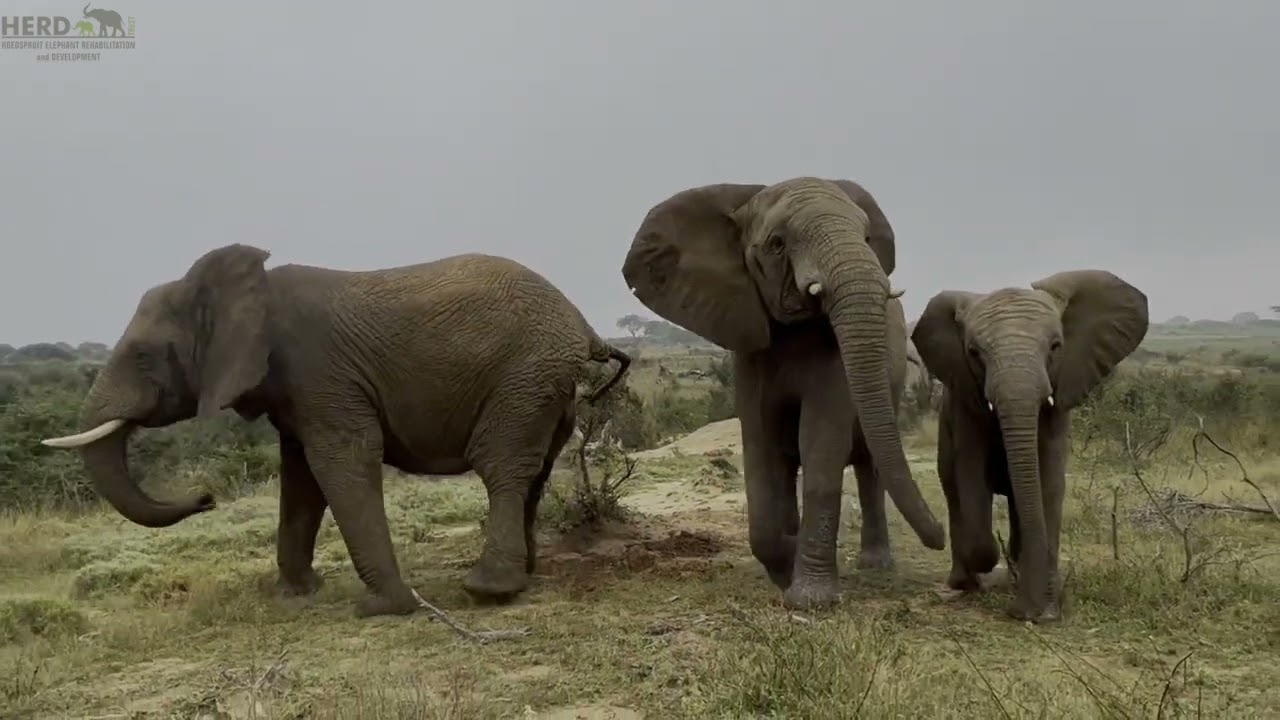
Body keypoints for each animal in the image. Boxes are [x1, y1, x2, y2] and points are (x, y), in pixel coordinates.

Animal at [40, 245, 632, 618]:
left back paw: (487, 591)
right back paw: (523, 576)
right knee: (535, 470)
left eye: (143, 355)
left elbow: (340, 463)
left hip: (524, 375)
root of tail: (583, 325)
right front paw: (294, 595)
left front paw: (383, 608)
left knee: (502, 468)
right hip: (546, 386)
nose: (205, 496)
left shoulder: (319, 372)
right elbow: (300, 476)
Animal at [621, 176, 946, 610]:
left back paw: (875, 565)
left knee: (868, 463)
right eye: (777, 244)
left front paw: (810, 599)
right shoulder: (746, 335)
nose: (941, 538)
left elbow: (819, 440)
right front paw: (785, 564)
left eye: (866, 237)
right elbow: (761, 441)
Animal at [910, 269, 1148, 622]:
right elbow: (971, 475)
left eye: (1056, 346)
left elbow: (1048, 481)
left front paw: (1040, 610)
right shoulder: (966, 402)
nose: (1027, 613)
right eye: (974, 353)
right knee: (954, 492)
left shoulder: (1060, 394)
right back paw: (966, 583)